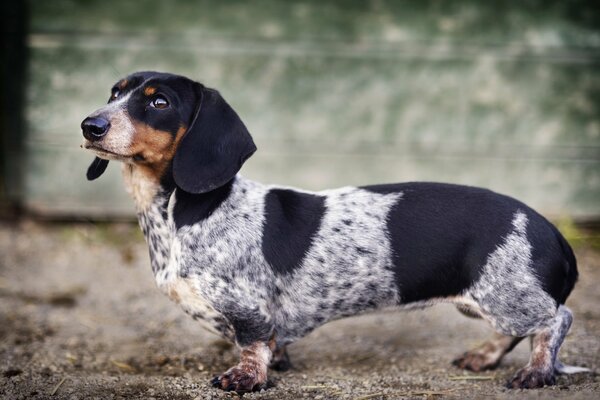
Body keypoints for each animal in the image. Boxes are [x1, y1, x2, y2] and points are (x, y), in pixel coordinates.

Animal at [82, 71, 588, 390]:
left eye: (159, 101)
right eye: (114, 92)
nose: (90, 124)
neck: (180, 211)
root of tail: (552, 231)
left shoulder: (248, 308)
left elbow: (252, 343)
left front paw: (246, 378)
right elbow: (269, 344)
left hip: (506, 298)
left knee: (556, 320)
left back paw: (536, 373)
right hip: (487, 301)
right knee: (522, 329)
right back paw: (483, 355)